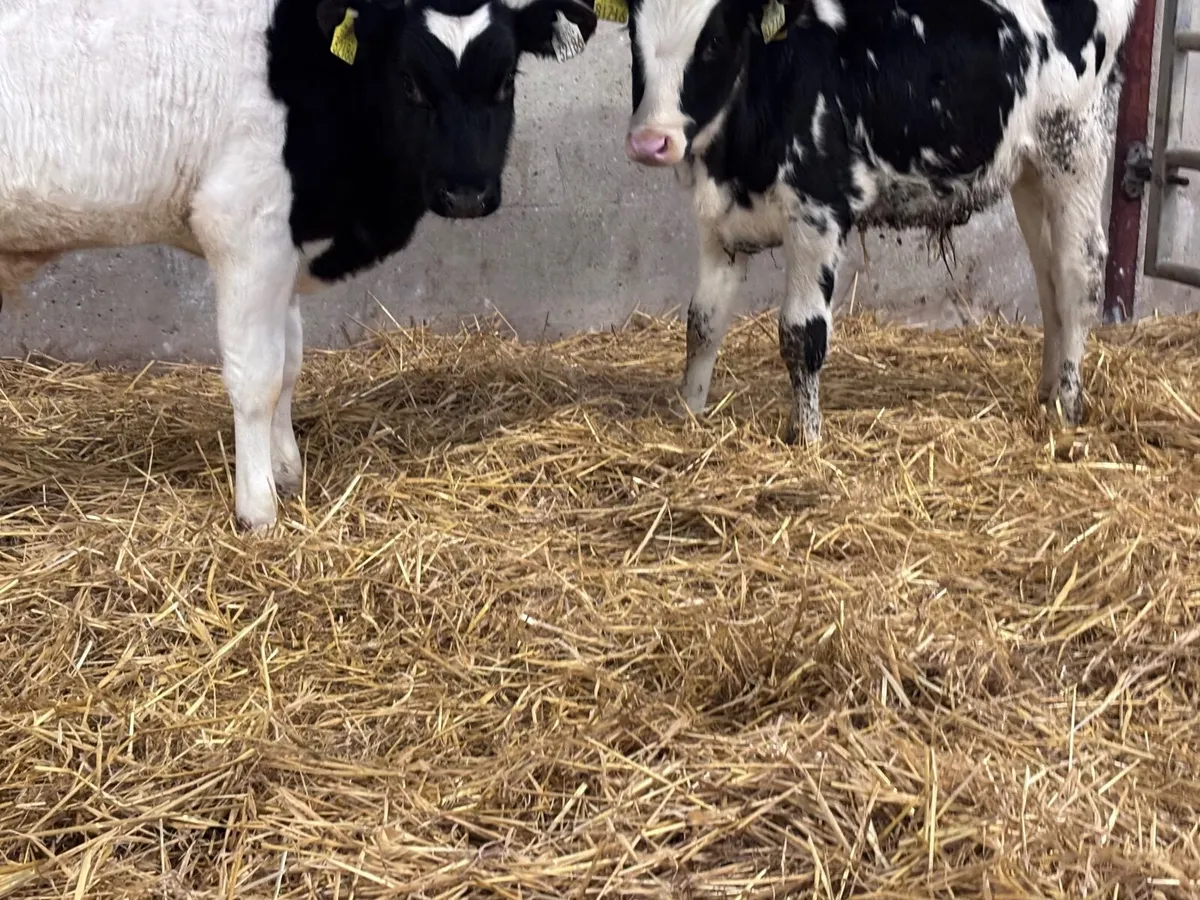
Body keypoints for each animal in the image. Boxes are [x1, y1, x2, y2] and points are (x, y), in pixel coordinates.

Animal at [0, 0, 599, 530]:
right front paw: (257, 507)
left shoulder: (285, 245)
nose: (467, 194)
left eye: (506, 81)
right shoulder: (244, 226)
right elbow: (256, 378)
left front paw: (286, 469)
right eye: (409, 81)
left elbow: (288, 363)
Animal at [594, 0, 1134, 444]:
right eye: (632, 35)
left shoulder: (818, 217)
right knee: (1047, 278)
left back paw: (1066, 406)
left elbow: (802, 335)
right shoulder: (719, 226)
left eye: (714, 42)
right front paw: (688, 414)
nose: (650, 141)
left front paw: (807, 439)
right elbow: (702, 325)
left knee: (1079, 275)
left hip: (1076, 148)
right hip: (1029, 173)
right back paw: (1045, 391)